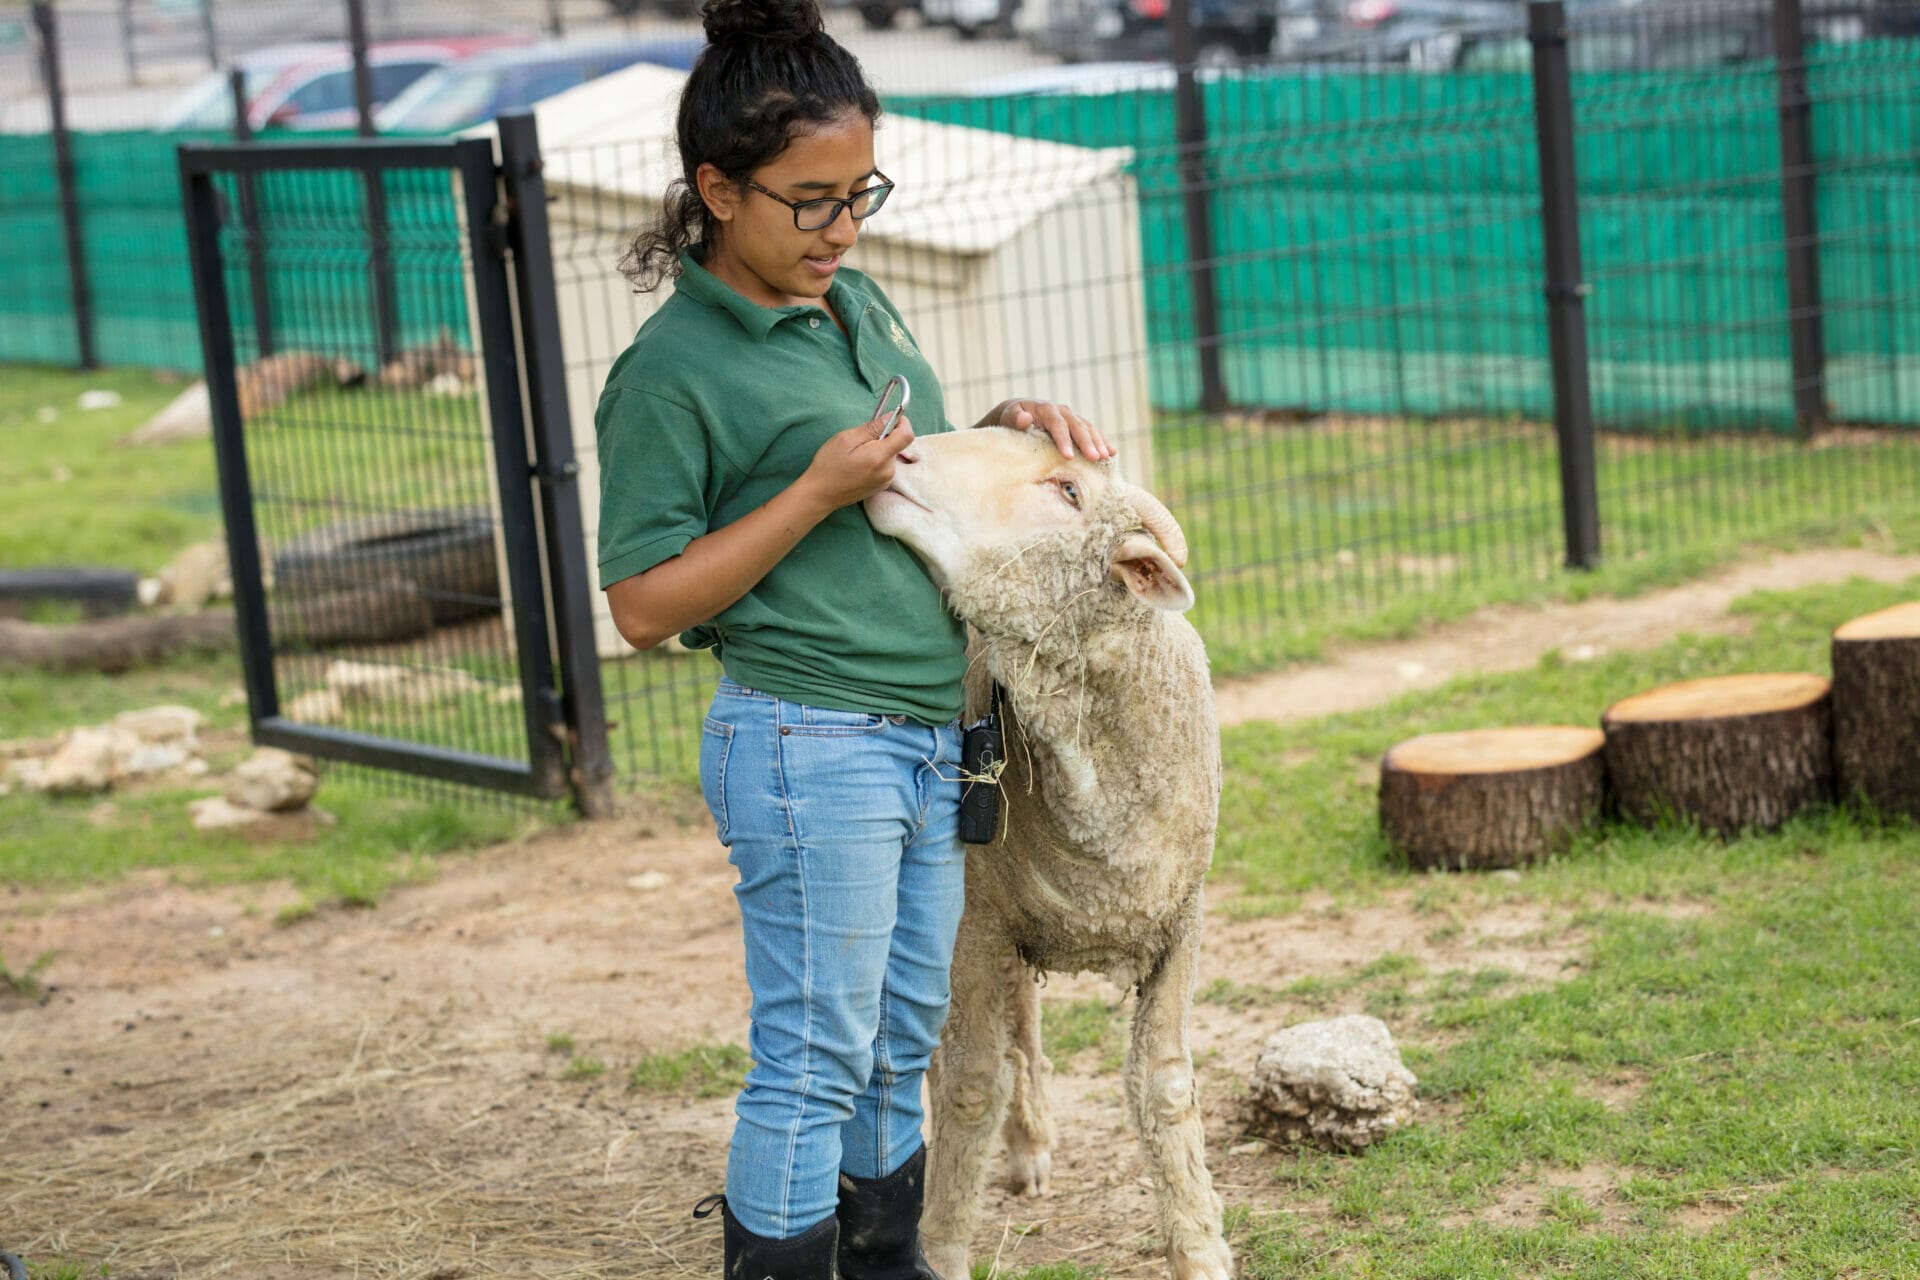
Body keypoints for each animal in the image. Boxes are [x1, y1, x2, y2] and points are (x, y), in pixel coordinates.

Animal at [867, 427, 1228, 1280]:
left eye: (1068, 490)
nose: (901, 451)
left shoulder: (1181, 922)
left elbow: (1164, 1087)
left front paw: (1200, 1248)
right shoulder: (976, 925)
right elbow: (969, 1084)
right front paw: (941, 1246)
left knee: (1022, 1024)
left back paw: (1031, 1144)